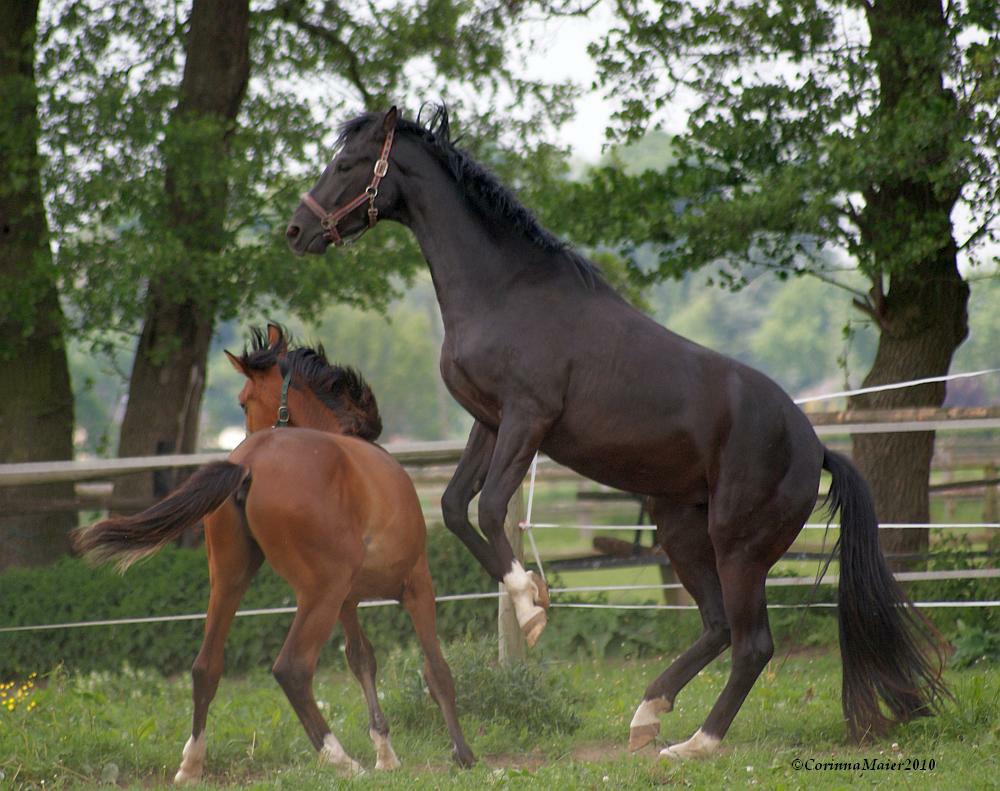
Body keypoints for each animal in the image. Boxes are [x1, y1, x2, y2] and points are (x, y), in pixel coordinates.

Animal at [286, 106, 948, 760]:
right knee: (716, 626)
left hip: (739, 545)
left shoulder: (527, 418)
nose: (296, 231)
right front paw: (532, 598)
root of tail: (815, 446)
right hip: (680, 528)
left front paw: (530, 609)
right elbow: (454, 507)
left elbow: (492, 506)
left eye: (346, 164)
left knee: (752, 643)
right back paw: (648, 715)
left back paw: (695, 744)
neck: (506, 293)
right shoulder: (489, 421)